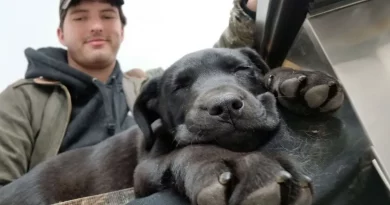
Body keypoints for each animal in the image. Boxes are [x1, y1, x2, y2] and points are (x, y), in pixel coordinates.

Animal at [133, 46, 342, 205]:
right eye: (178, 87)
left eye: (241, 69)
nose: (225, 105)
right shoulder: (144, 171)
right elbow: (192, 149)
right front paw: (244, 168)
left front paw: (301, 79)